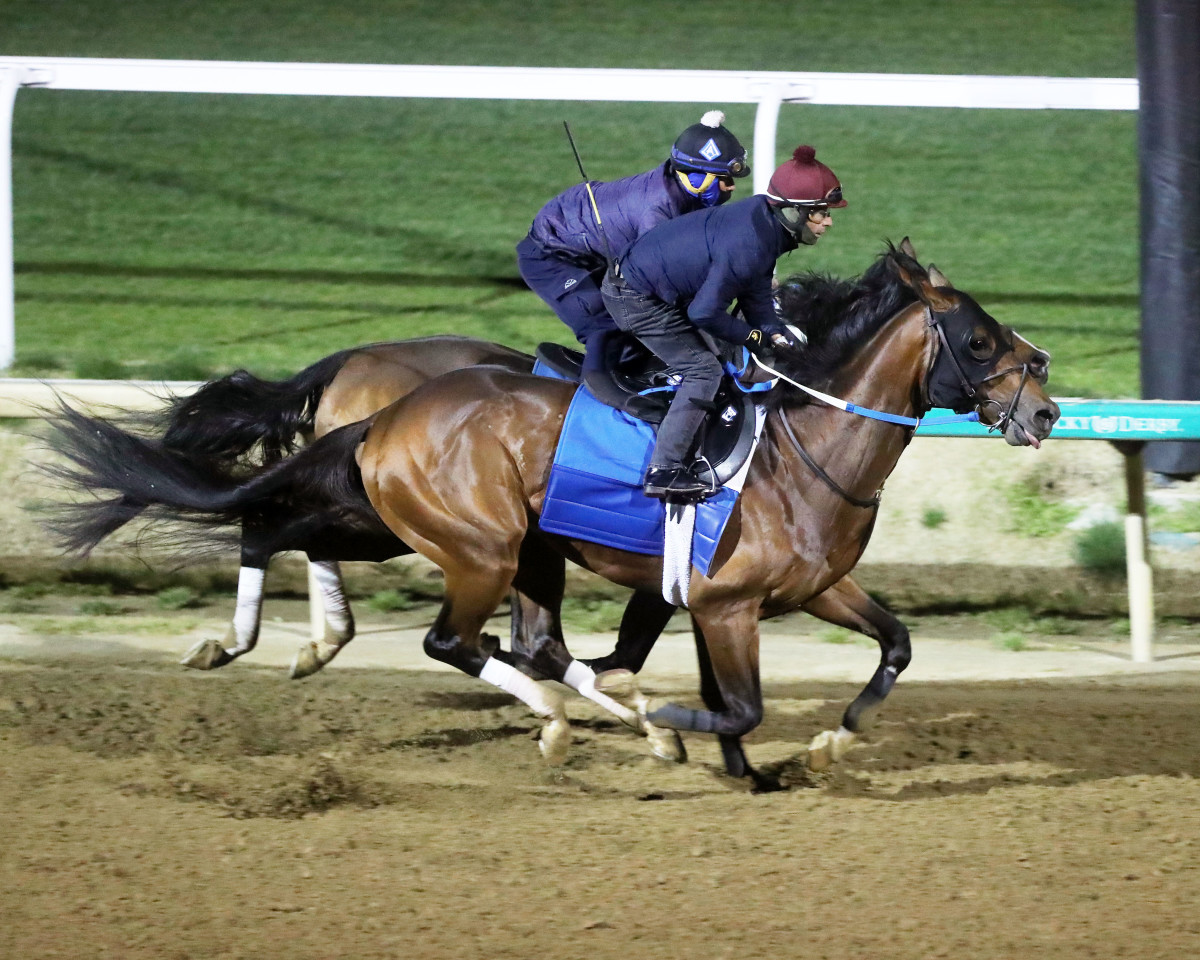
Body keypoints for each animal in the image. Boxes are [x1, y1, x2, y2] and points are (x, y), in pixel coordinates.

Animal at [46, 242, 1060, 787]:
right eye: (978, 339)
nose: (1048, 409)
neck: (800, 446)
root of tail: (385, 405)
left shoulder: (808, 589)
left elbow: (893, 646)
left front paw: (818, 745)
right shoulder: (722, 604)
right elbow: (726, 701)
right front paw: (675, 724)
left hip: (426, 528)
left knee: (276, 528)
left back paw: (264, 642)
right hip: (473, 544)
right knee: (450, 638)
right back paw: (559, 717)